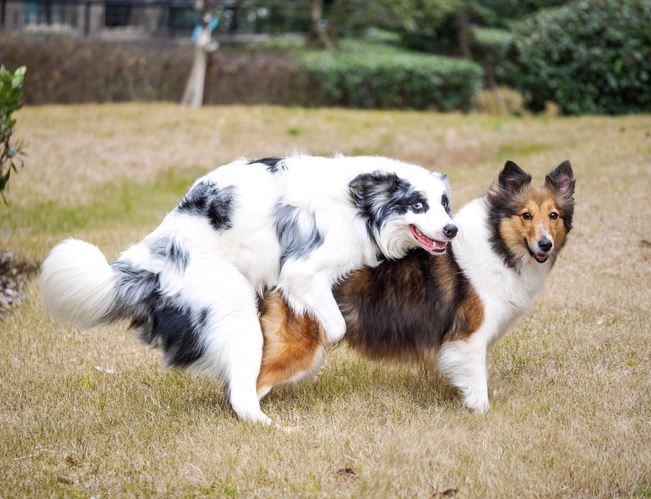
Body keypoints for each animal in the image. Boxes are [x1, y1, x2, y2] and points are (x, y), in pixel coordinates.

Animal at [42, 154, 458, 424]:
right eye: (417, 205)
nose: (452, 229)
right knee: (240, 396)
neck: (360, 206)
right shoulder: (303, 270)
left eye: (444, 204)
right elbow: (336, 326)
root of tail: (154, 257)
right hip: (235, 309)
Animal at [255, 161, 576, 414]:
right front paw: (481, 413)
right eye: (526, 215)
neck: (497, 244)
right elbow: (477, 383)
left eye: (553, 215)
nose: (545, 244)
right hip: (300, 346)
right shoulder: (468, 337)